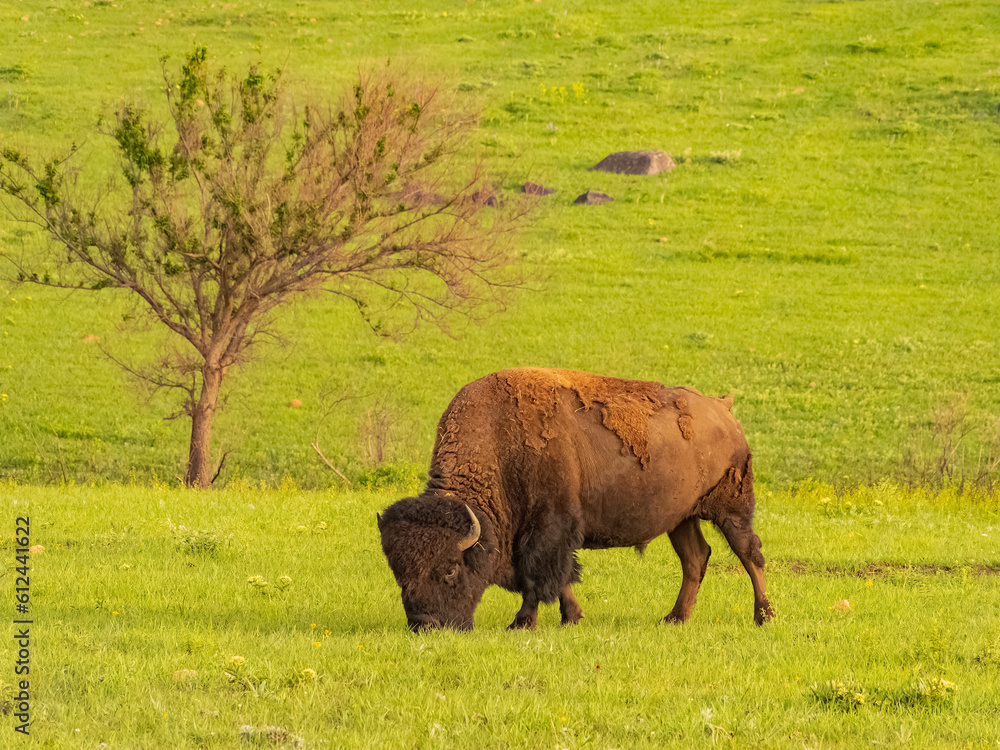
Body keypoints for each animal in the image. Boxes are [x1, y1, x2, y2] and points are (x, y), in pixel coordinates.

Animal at [376, 370, 772, 636]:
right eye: (399, 572)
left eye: (449, 570)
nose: (425, 625)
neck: (499, 439)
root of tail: (722, 409)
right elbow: (559, 577)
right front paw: (572, 617)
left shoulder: (549, 527)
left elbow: (538, 575)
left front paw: (522, 623)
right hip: (681, 518)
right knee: (695, 558)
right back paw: (674, 618)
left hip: (732, 508)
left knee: (750, 553)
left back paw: (763, 616)